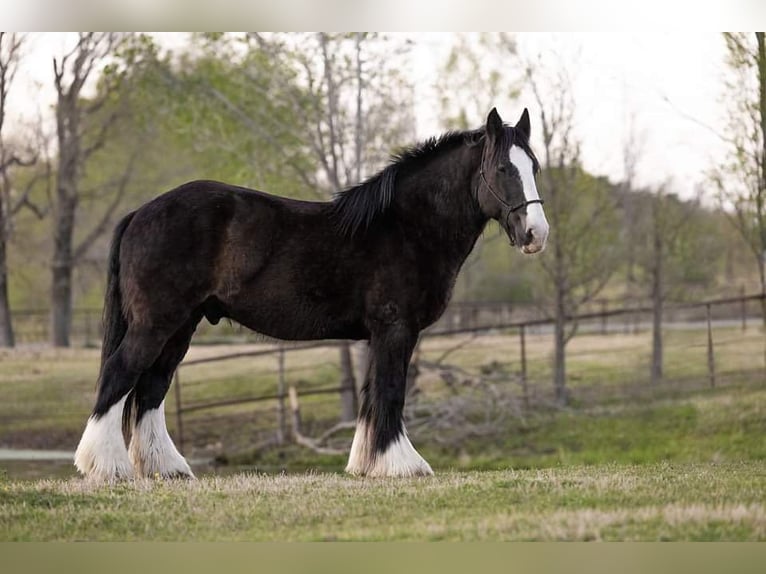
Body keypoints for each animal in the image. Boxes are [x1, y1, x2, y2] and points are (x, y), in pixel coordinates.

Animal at [75, 108, 548, 482]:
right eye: (503, 169)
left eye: (535, 168)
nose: (536, 234)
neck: (406, 226)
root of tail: (141, 212)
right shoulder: (396, 328)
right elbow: (391, 392)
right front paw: (403, 465)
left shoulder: (379, 334)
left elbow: (371, 396)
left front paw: (365, 465)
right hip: (157, 322)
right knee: (120, 375)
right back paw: (106, 468)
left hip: (180, 327)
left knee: (150, 389)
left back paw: (167, 468)